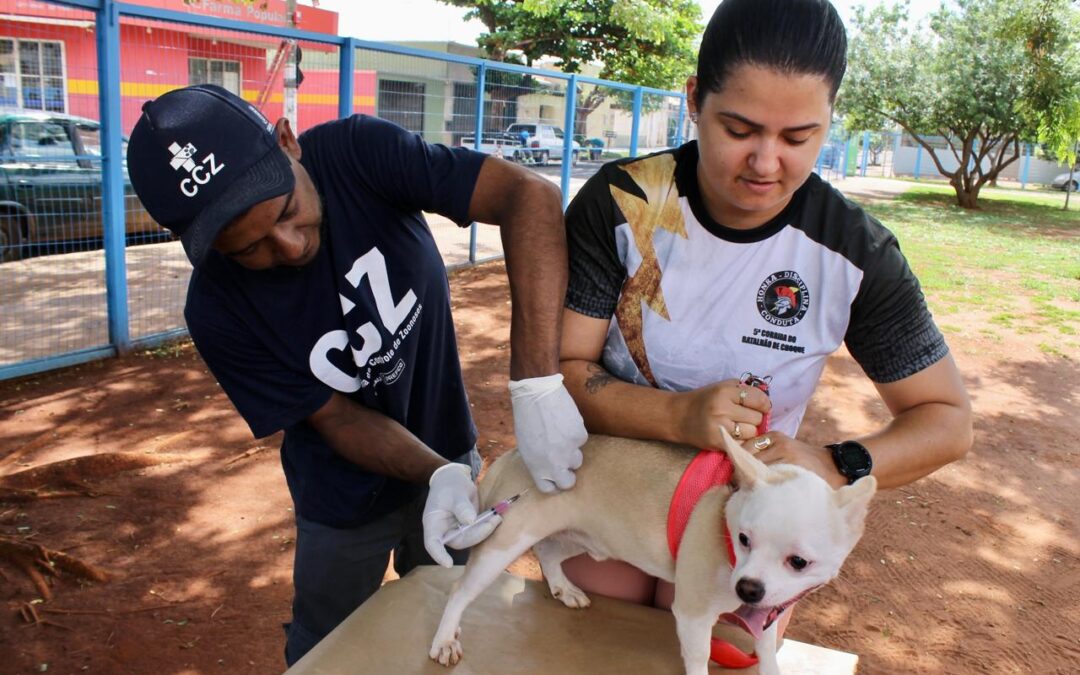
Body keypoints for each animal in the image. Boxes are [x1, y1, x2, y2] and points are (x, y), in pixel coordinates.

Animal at [425, 432, 872, 673]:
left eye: (798, 562)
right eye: (744, 539)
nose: (748, 588)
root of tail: (514, 455)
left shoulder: (765, 617)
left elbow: (764, 649)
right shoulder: (692, 616)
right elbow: (699, 657)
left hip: (582, 536)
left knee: (549, 552)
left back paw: (564, 589)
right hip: (503, 543)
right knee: (460, 591)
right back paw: (445, 637)